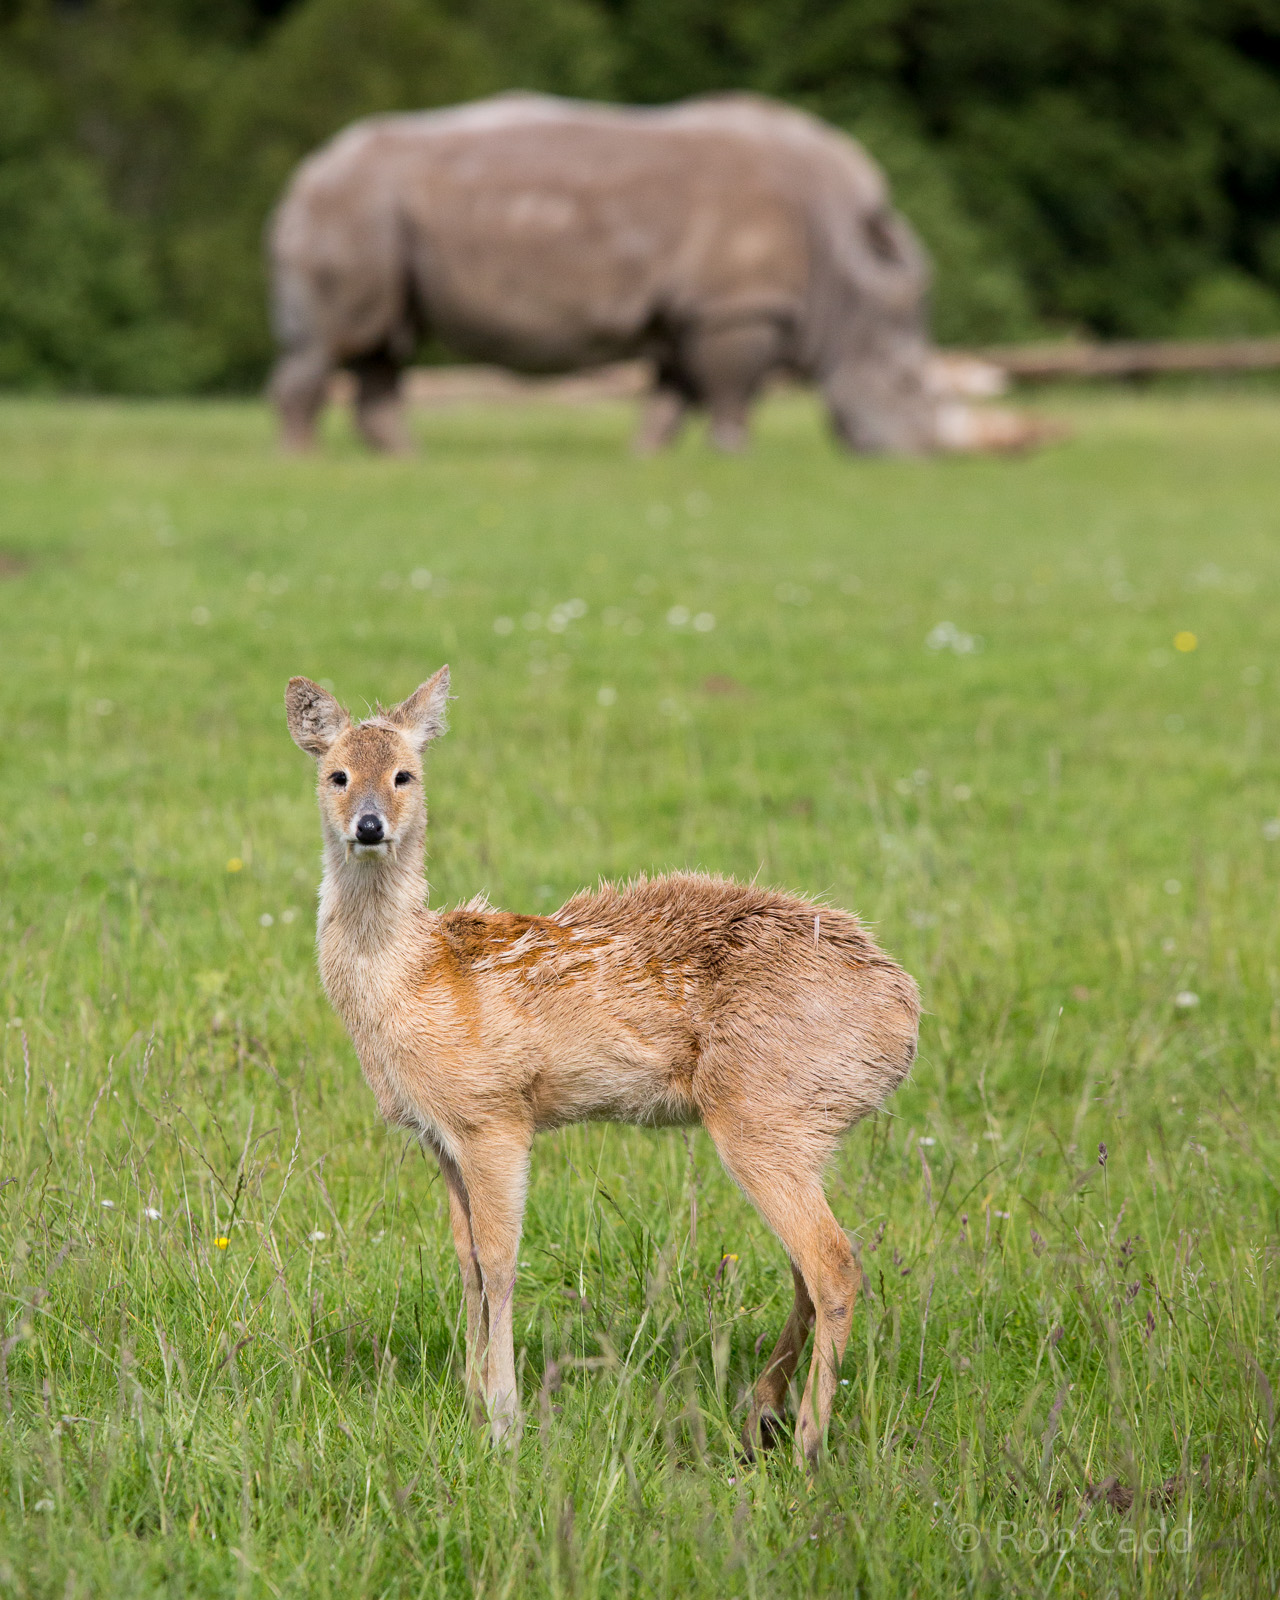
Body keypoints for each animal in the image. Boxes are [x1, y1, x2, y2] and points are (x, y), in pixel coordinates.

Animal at [285, 666, 920, 1467]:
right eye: (335, 774)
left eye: (405, 774)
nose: (369, 826)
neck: (415, 977)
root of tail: (904, 1014)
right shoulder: (440, 1137)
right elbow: (466, 1263)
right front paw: (471, 1402)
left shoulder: (495, 1115)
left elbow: (501, 1262)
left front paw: (505, 1421)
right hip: (803, 1125)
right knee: (808, 1265)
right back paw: (761, 1416)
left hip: (761, 1111)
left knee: (834, 1263)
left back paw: (806, 1443)